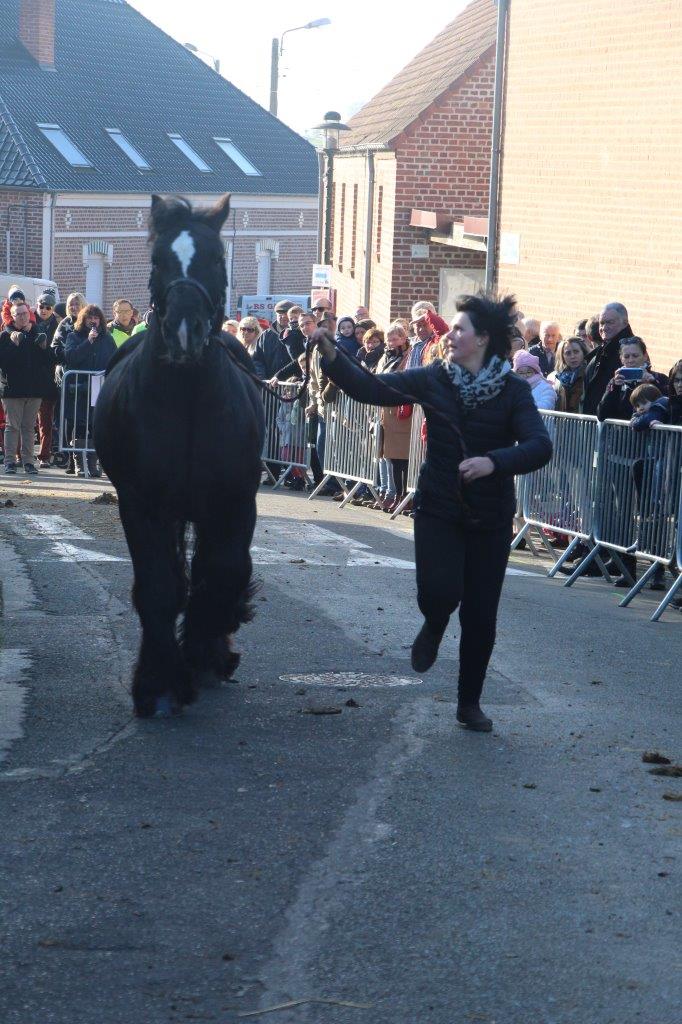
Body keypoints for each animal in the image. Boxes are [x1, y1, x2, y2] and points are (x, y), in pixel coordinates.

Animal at [94, 195, 264, 716]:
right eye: (156, 261)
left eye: (216, 259)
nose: (185, 331)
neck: (187, 400)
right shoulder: (142, 505)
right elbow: (159, 587)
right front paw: (159, 682)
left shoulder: (234, 503)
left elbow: (222, 575)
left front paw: (206, 654)